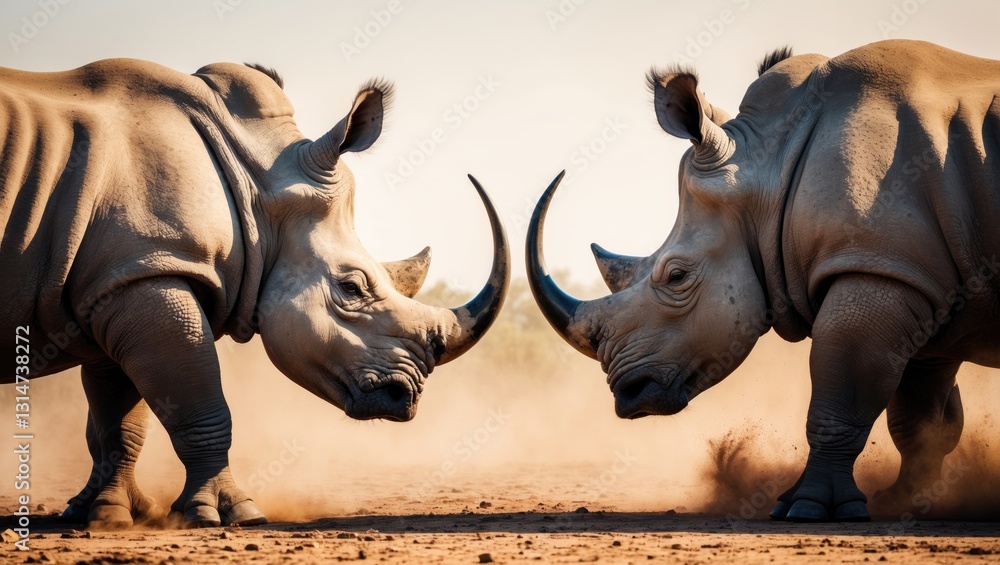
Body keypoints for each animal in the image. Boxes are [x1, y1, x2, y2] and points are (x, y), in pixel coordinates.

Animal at [0, 59, 509, 528]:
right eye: (351, 287)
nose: (406, 398)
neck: (258, 187)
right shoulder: (152, 269)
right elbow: (199, 404)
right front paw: (227, 515)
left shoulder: (122, 276)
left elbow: (117, 421)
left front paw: (107, 515)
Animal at [527, 39, 1000, 522]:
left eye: (676, 276)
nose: (628, 395)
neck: (772, 165)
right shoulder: (916, 279)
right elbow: (920, 421)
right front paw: (908, 500)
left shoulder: (875, 267)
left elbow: (840, 398)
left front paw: (807, 508)